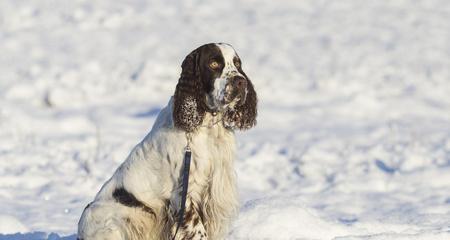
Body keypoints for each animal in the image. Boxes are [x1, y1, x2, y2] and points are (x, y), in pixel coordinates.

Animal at [77, 43, 256, 240]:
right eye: (214, 63)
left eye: (237, 64)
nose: (241, 82)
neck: (208, 126)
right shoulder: (184, 194)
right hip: (118, 220)